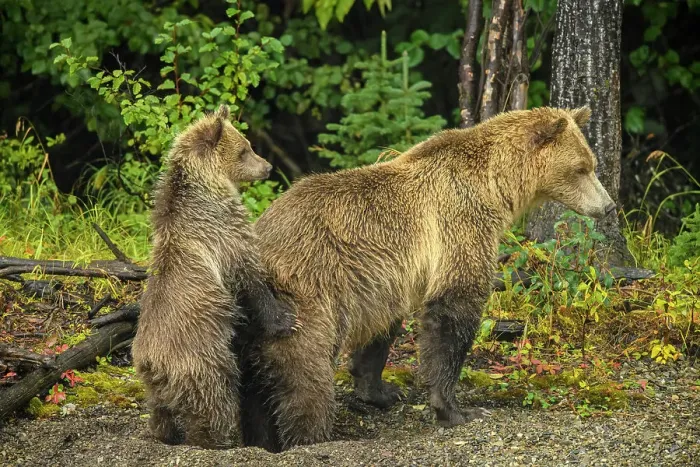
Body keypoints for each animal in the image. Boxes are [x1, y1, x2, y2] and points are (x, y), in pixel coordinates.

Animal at [131, 104, 297, 449]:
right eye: (245, 149)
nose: (267, 167)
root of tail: (153, 363)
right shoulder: (225, 237)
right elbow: (250, 278)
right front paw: (285, 319)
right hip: (203, 361)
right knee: (215, 403)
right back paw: (217, 441)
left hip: (153, 386)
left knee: (160, 414)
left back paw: (164, 434)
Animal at [240, 106, 615, 451]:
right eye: (581, 168)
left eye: (592, 163)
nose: (609, 206)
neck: (496, 188)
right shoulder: (458, 224)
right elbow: (453, 311)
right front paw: (455, 408)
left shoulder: (387, 278)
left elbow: (380, 333)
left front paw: (380, 391)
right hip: (304, 290)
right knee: (305, 368)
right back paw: (309, 434)